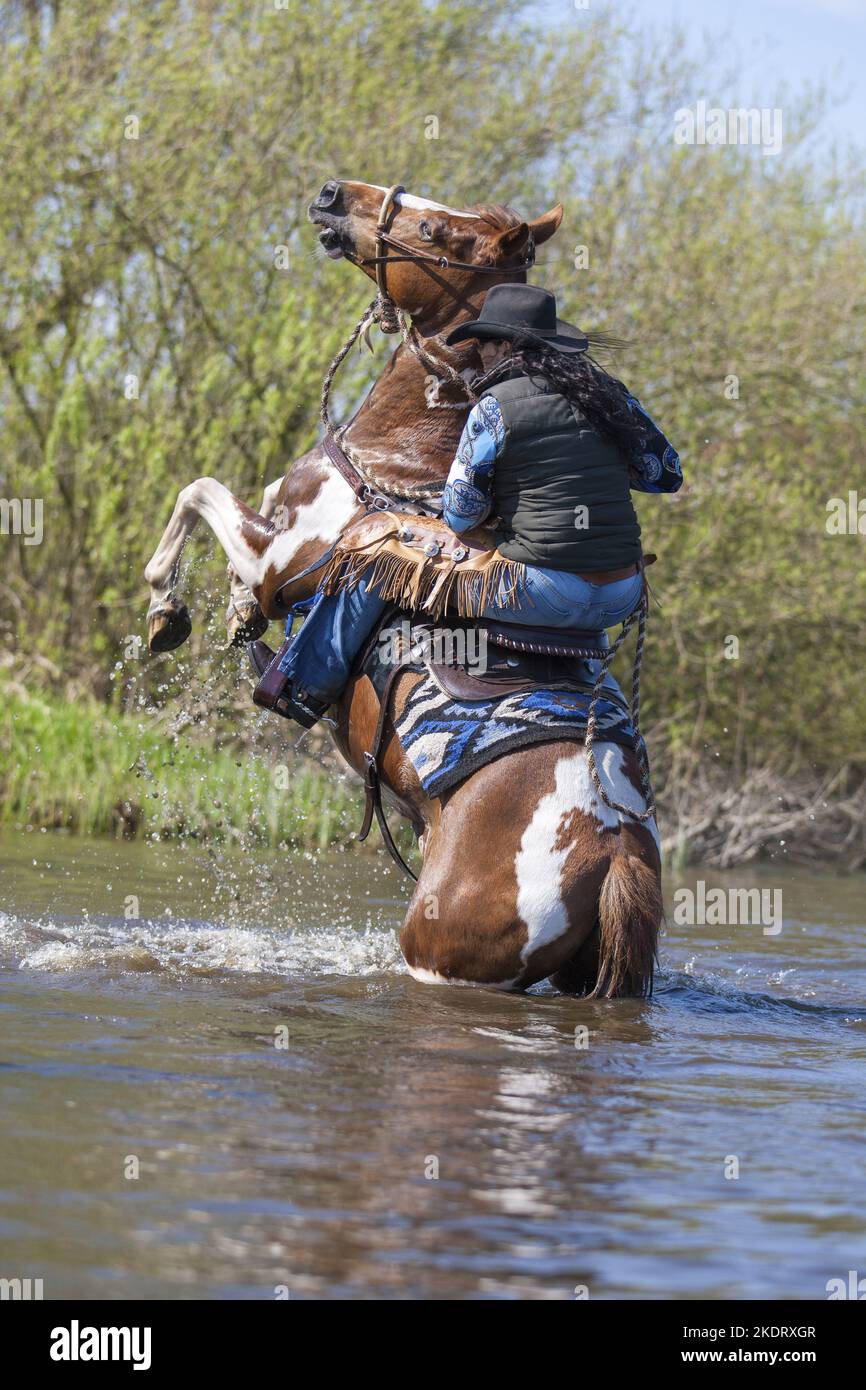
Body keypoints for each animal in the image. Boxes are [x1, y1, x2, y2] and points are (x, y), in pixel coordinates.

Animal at [143, 179, 662, 995]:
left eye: (433, 231)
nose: (331, 194)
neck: (397, 461)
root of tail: (614, 856)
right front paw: (230, 614)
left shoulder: (280, 558)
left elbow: (197, 494)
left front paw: (166, 607)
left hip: (437, 955)